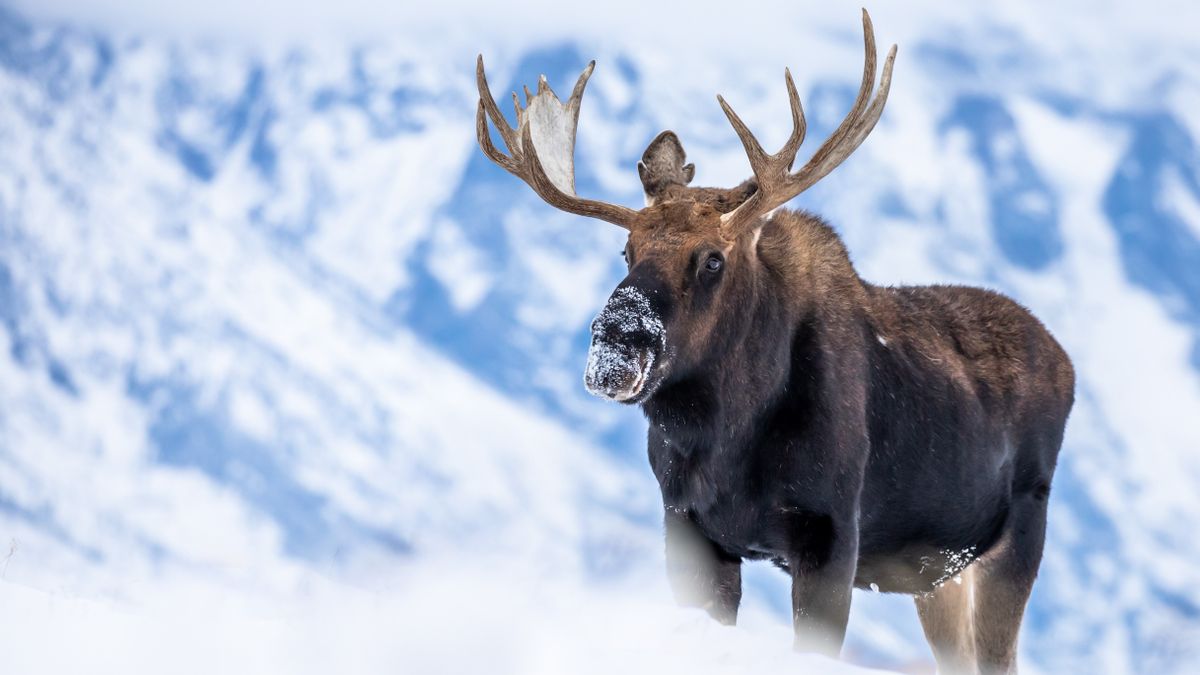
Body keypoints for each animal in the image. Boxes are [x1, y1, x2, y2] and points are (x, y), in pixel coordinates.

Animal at [472, 10, 1075, 672]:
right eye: (626, 251)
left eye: (712, 259)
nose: (617, 347)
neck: (726, 437)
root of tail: (1066, 361)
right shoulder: (688, 526)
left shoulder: (830, 535)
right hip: (935, 575)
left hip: (1015, 539)